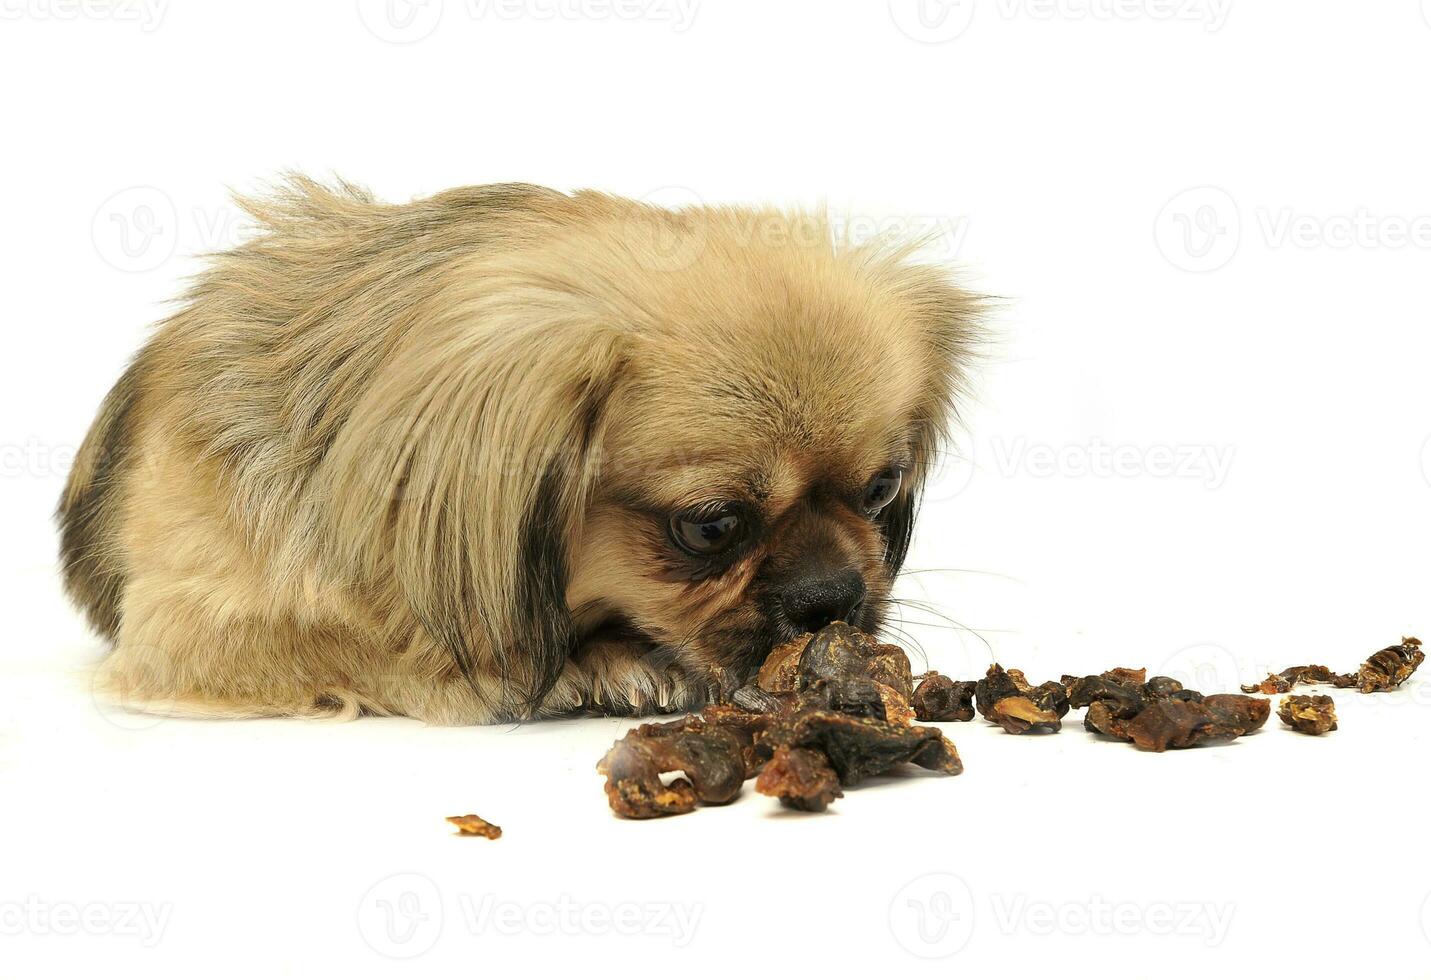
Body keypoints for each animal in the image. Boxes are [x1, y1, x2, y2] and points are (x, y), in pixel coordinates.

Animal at [52, 175, 973, 721]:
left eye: (880, 491)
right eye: (709, 527)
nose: (830, 596)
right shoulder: (188, 630)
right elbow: (367, 644)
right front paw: (591, 668)